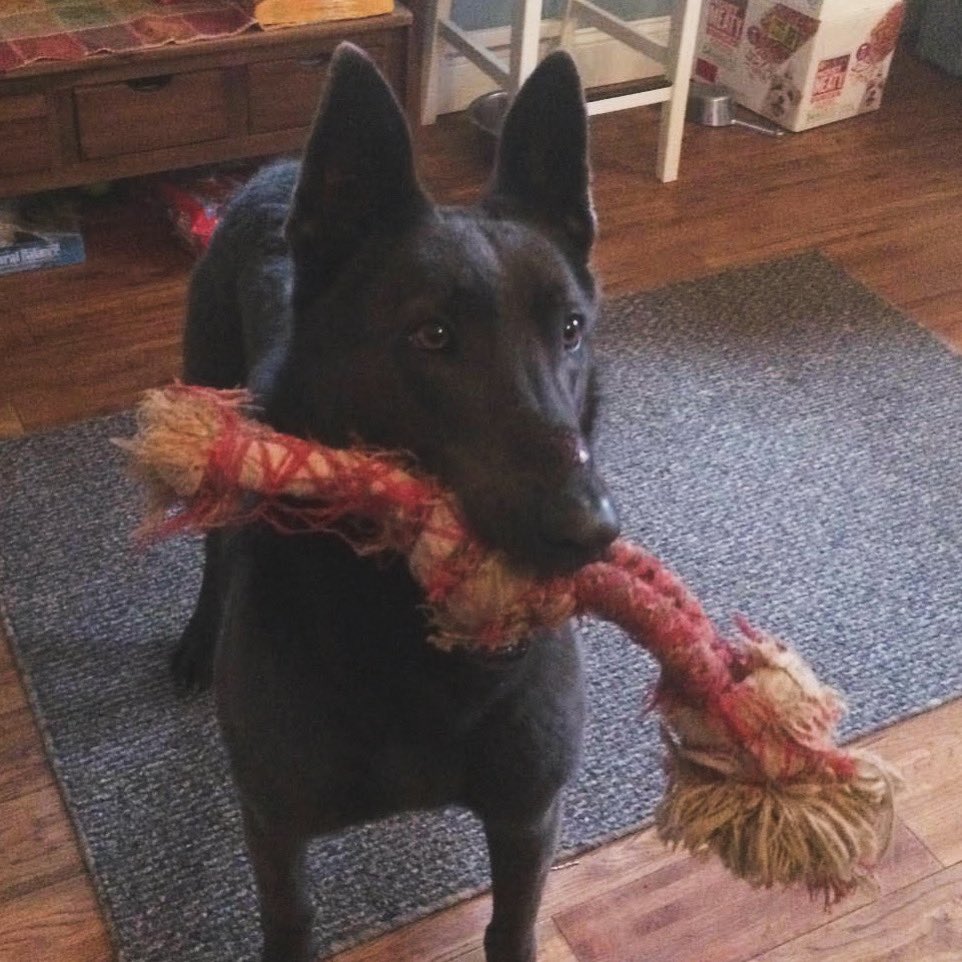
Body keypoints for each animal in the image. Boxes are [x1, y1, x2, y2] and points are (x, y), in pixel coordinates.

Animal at [174, 43, 616, 960]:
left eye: (570, 330)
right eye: (433, 337)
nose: (591, 530)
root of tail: (279, 167)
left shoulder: (528, 821)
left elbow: (511, 929)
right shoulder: (275, 829)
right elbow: (289, 923)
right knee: (215, 546)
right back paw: (199, 639)